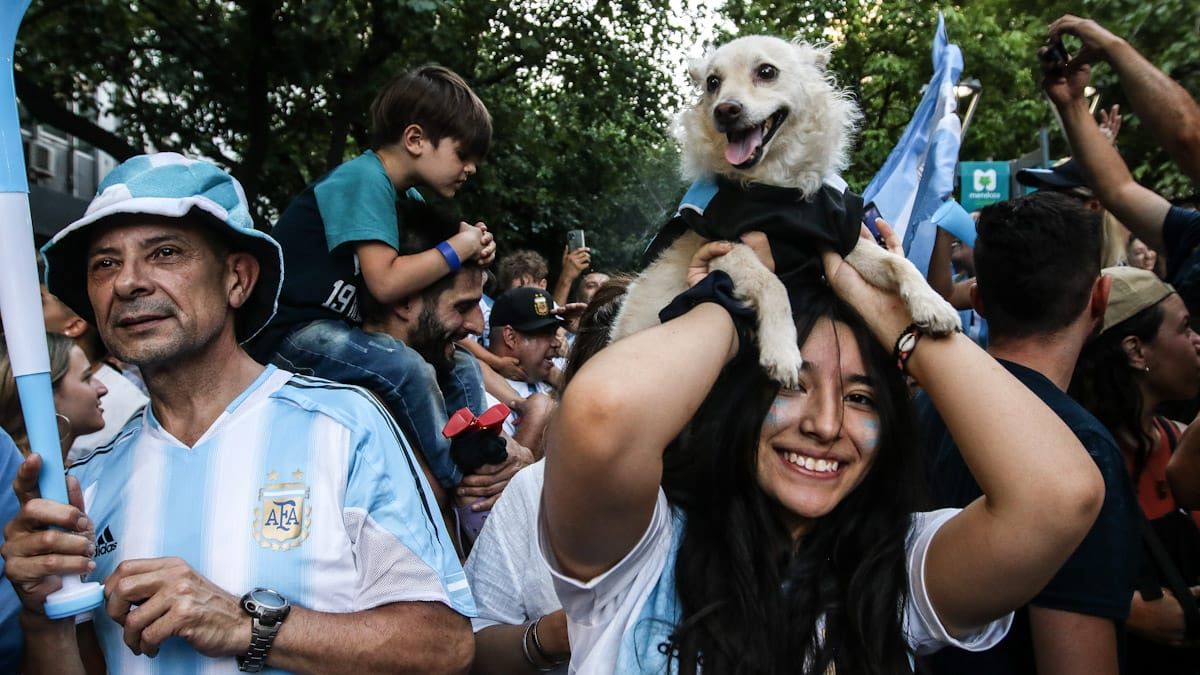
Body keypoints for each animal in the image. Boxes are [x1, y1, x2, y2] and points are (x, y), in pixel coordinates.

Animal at [614, 36, 960, 384]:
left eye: (766, 72)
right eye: (713, 83)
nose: (724, 109)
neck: (775, 190)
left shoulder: (834, 236)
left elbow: (899, 263)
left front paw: (933, 304)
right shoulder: (724, 247)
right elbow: (773, 284)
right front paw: (781, 349)